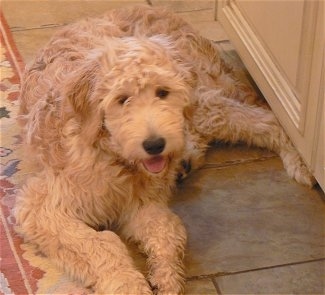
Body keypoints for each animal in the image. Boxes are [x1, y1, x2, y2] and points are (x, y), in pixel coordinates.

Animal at [15, 5, 314, 295]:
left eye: (162, 92)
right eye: (122, 99)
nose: (154, 145)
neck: (115, 159)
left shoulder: (142, 204)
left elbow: (168, 231)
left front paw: (166, 278)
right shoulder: (44, 208)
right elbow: (105, 243)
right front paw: (130, 285)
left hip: (201, 104)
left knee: (269, 118)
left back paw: (300, 163)